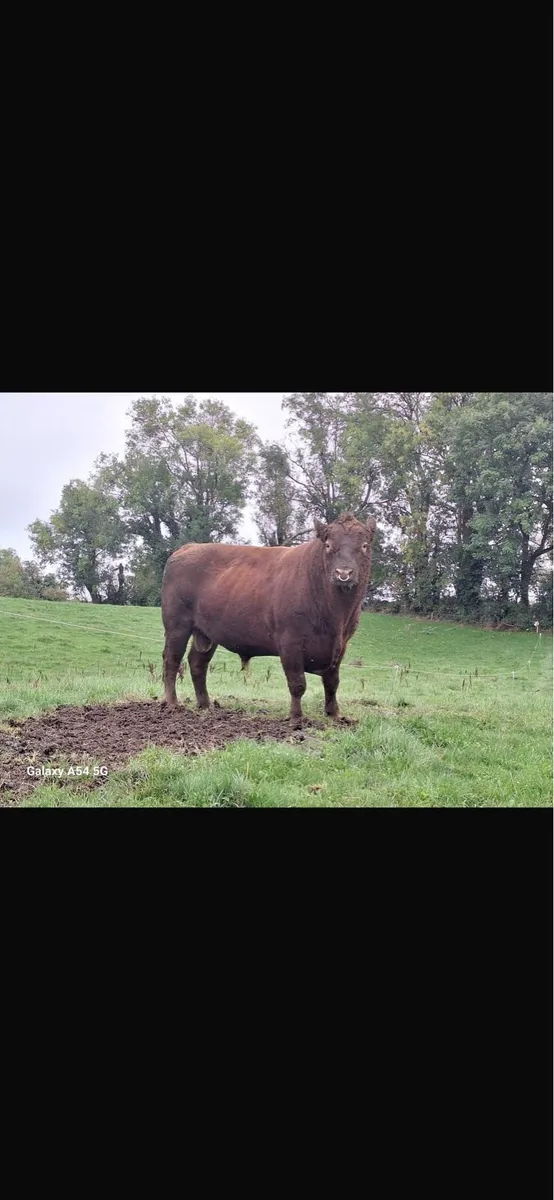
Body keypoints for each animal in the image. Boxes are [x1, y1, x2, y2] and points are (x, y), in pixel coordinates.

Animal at [161, 512, 377, 728]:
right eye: (329, 545)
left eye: (364, 545)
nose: (344, 573)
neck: (335, 615)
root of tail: (188, 548)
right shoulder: (290, 641)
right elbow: (297, 683)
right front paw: (297, 717)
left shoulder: (341, 644)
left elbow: (332, 682)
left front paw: (335, 715)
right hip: (177, 625)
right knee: (172, 660)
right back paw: (172, 704)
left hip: (206, 632)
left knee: (197, 663)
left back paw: (205, 705)